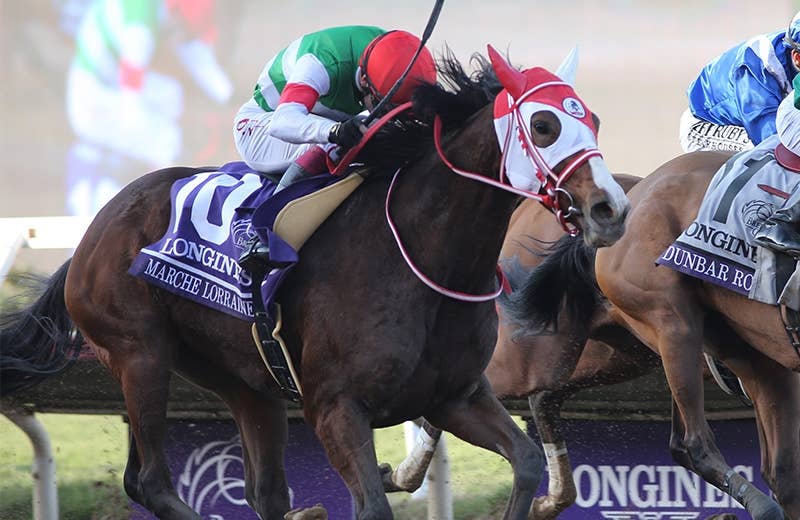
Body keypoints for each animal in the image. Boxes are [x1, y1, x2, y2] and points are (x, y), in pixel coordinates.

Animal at [0, 49, 630, 520]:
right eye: (544, 126)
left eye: (594, 121)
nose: (611, 210)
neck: (426, 259)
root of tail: (93, 232)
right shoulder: (335, 408)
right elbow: (372, 505)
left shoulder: (455, 396)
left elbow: (526, 461)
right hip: (140, 355)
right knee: (149, 480)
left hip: (243, 383)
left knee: (265, 493)